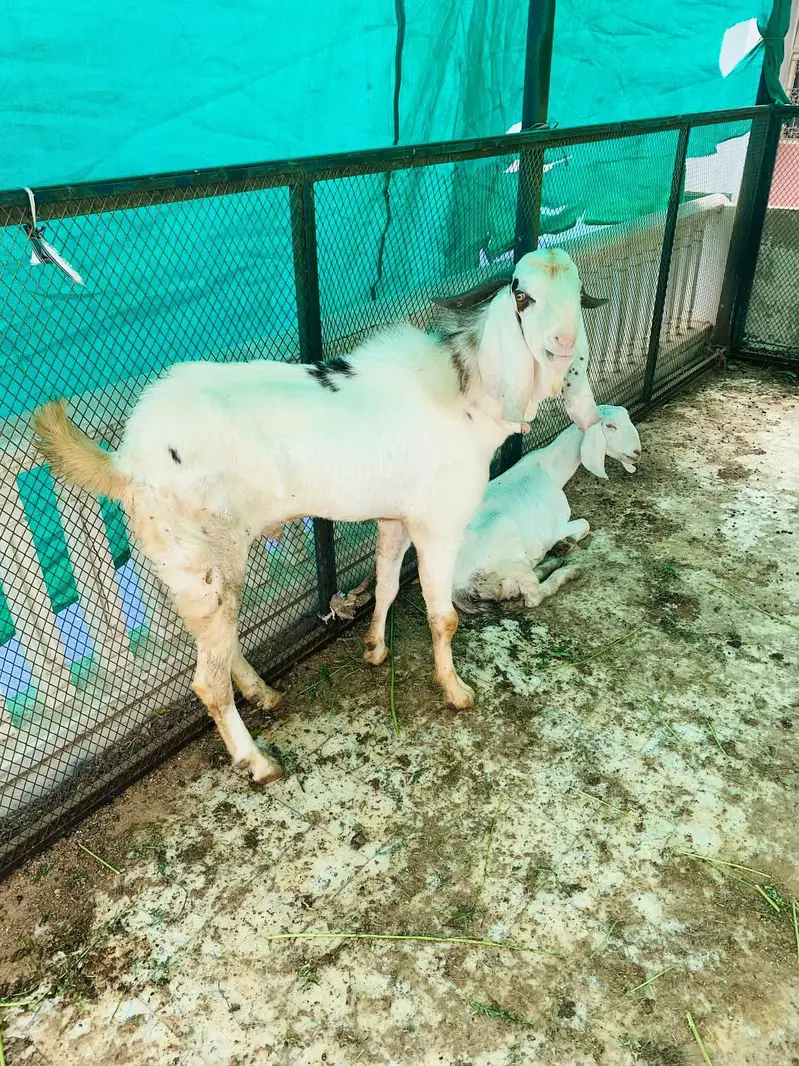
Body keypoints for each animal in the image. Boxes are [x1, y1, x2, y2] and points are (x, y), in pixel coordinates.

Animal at [31, 247, 605, 785]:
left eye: (578, 296)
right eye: (521, 295)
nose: (563, 343)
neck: (468, 395)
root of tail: (126, 461)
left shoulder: (396, 516)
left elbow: (387, 584)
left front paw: (375, 649)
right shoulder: (439, 524)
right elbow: (443, 616)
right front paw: (455, 690)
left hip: (194, 567)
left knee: (216, 642)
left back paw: (263, 693)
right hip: (201, 555)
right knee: (206, 679)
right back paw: (258, 760)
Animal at [452, 405, 641, 610]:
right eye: (610, 426)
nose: (637, 451)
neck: (550, 470)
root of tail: (458, 588)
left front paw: (564, 545)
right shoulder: (557, 526)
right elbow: (586, 523)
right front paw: (565, 543)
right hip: (510, 554)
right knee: (534, 595)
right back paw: (568, 570)